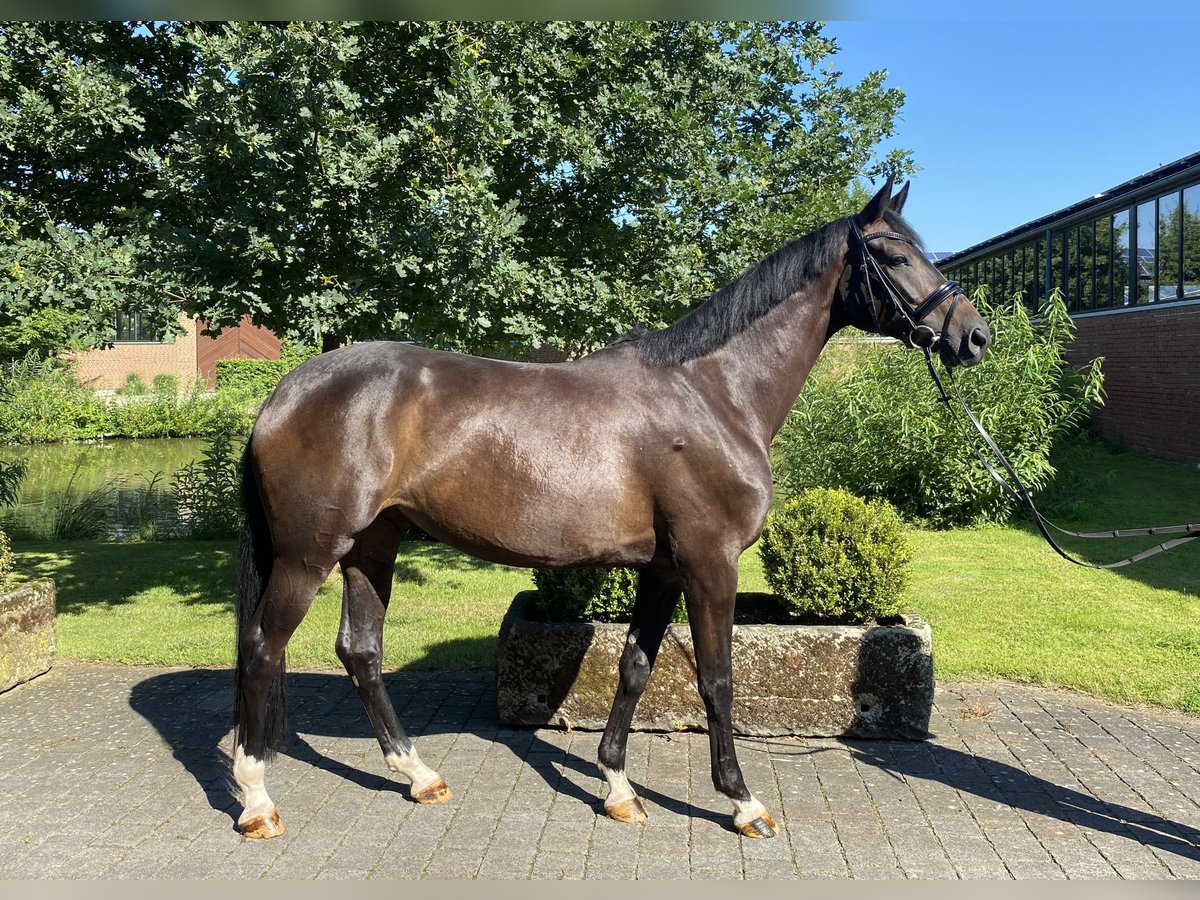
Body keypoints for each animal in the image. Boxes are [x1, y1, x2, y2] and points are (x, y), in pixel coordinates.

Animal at [231, 177, 993, 844]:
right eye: (896, 256)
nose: (975, 337)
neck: (713, 394)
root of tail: (284, 392)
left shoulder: (663, 569)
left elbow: (635, 666)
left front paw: (619, 789)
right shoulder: (709, 563)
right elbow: (717, 679)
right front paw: (743, 802)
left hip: (372, 544)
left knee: (360, 650)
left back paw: (418, 775)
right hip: (309, 554)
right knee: (264, 647)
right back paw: (257, 800)